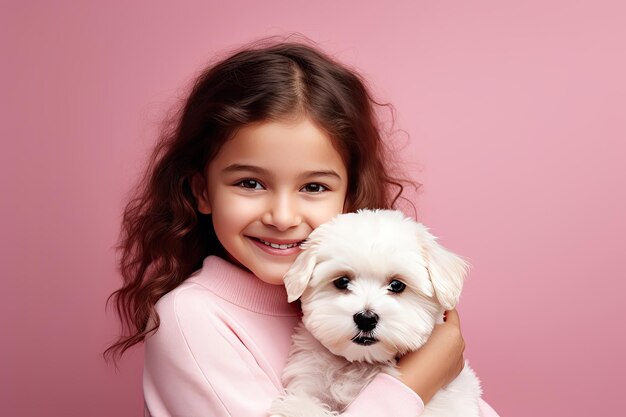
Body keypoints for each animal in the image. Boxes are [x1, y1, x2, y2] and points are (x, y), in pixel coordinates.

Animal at [266, 210, 478, 414]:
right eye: (342, 281)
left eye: (397, 285)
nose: (366, 319)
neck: (362, 363)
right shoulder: (308, 377)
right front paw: (292, 409)